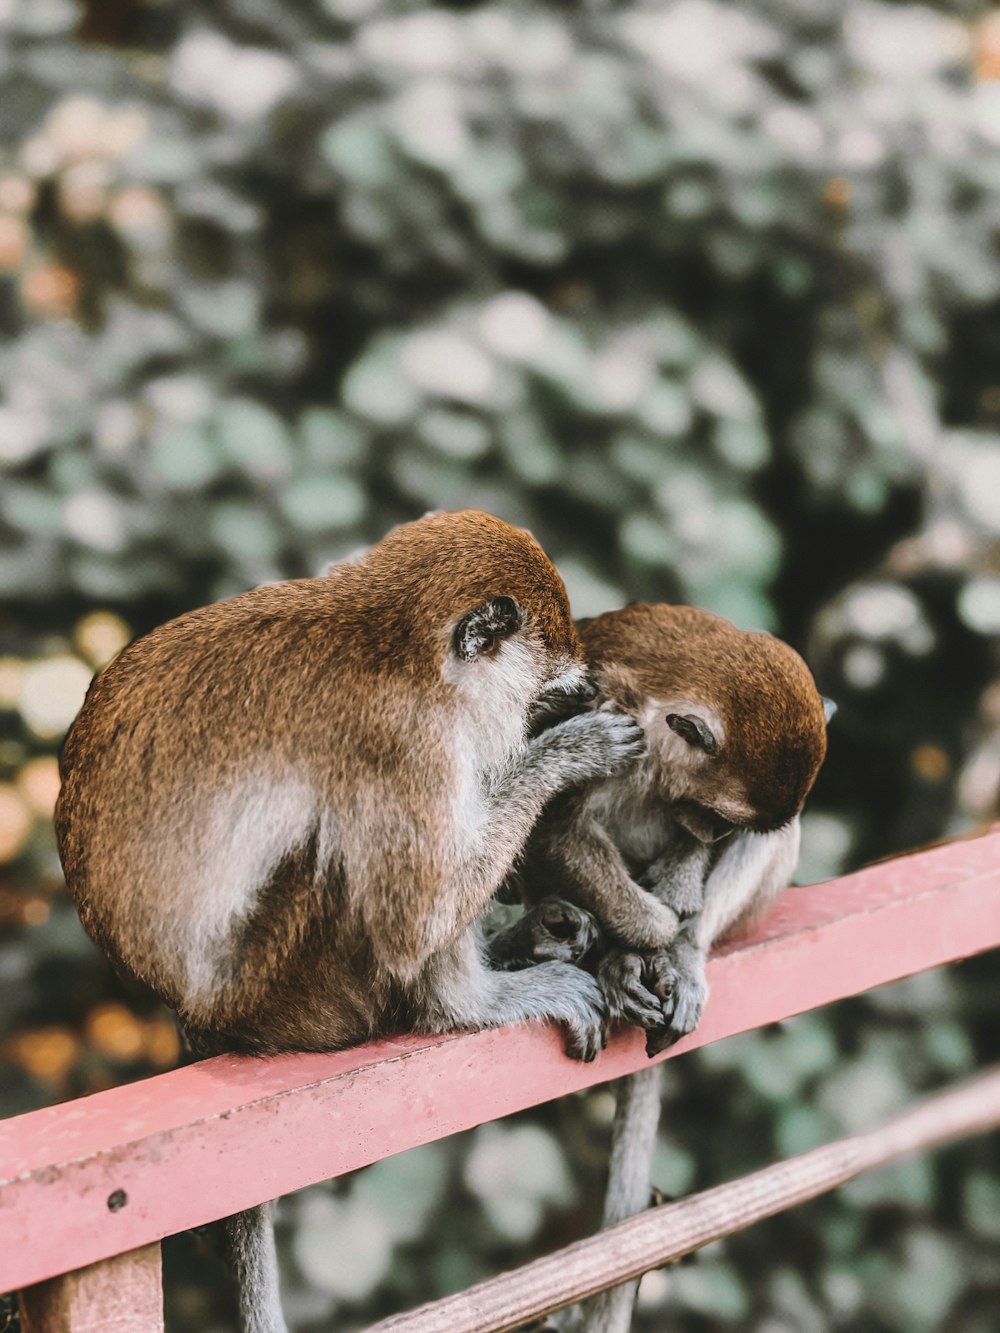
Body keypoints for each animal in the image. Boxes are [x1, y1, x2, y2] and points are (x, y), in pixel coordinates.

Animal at [54, 509, 645, 1333]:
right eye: (548, 697)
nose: (566, 708)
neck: (395, 645)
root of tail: (200, 1019)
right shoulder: (405, 741)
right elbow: (413, 917)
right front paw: (568, 753)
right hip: (301, 990)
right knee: (352, 866)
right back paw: (464, 1005)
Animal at [498, 605, 832, 1333]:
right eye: (711, 812)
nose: (710, 834)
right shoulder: (599, 719)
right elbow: (558, 827)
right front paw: (644, 932)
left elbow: (727, 853)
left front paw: (671, 925)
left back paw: (671, 957)